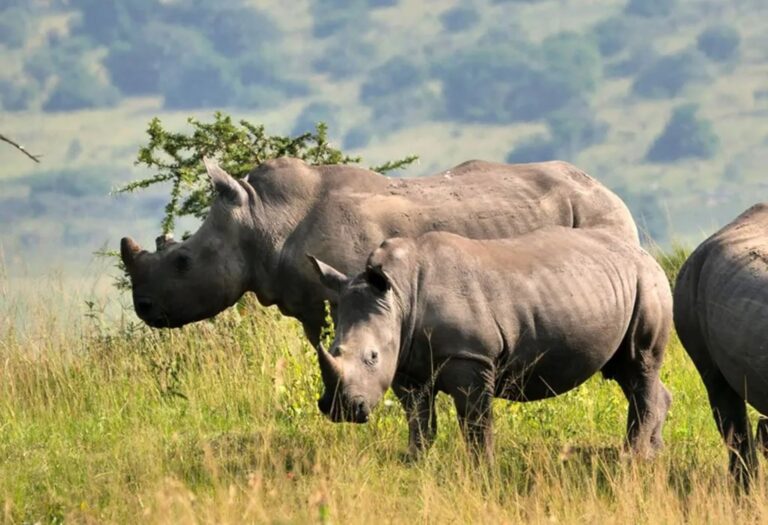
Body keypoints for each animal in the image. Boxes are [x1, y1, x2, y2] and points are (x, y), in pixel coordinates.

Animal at [120, 157, 638, 345]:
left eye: (183, 261)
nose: (143, 307)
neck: (264, 219)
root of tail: (610, 190)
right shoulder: (309, 299)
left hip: (598, 216)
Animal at [308, 227, 673, 461]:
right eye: (335, 349)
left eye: (372, 357)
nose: (340, 410)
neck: (400, 294)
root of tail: (648, 255)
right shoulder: (407, 364)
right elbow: (419, 421)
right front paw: (414, 462)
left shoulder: (472, 357)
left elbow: (475, 423)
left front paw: (482, 470)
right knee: (626, 371)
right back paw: (650, 454)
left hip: (648, 282)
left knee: (640, 364)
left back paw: (632, 459)